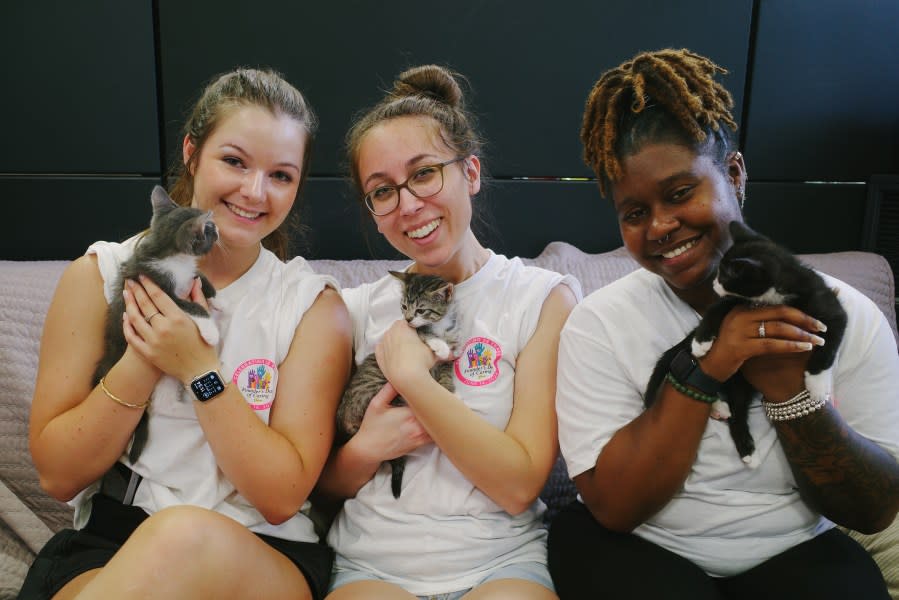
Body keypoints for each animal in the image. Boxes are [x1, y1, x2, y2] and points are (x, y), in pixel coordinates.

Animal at [93, 186, 221, 464]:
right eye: (207, 229)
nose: (217, 228)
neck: (169, 256)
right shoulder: (160, 290)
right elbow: (191, 306)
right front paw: (211, 331)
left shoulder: (185, 274)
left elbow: (199, 276)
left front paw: (218, 299)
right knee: (163, 405)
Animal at [340, 270, 464, 496]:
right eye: (404, 307)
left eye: (421, 310)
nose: (407, 320)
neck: (441, 325)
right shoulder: (416, 333)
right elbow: (425, 333)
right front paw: (439, 345)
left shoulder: (449, 356)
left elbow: (446, 371)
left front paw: (450, 390)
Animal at [644, 223, 848, 466]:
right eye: (718, 273)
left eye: (724, 275)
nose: (713, 283)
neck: (773, 296)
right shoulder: (737, 303)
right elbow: (717, 308)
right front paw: (702, 341)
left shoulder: (829, 308)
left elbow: (829, 346)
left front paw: (816, 384)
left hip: (741, 383)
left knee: (737, 409)